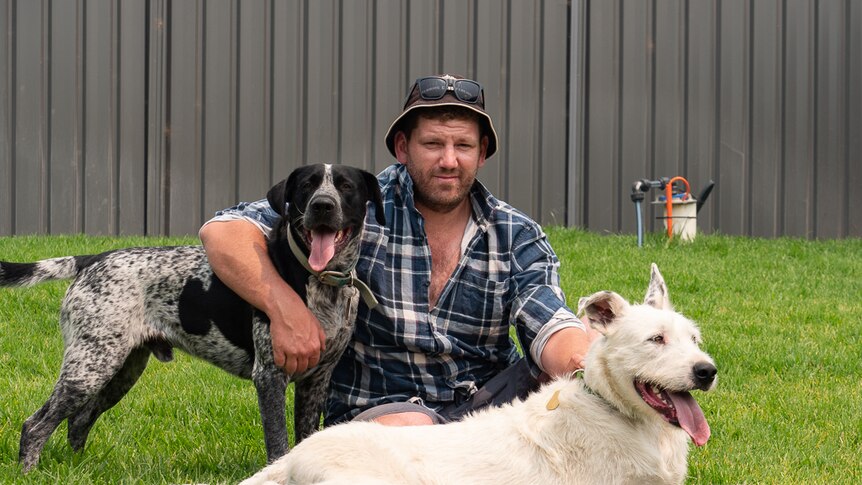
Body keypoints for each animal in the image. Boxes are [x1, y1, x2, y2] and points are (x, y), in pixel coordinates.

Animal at [0, 162, 384, 468]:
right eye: (307, 185)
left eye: (346, 186)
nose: (322, 206)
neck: (318, 279)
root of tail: (91, 260)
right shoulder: (270, 377)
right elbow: (278, 445)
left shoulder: (315, 381)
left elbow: (305, 439)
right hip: (88, 369)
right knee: (35, 426)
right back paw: (29, 471)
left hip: (121, 370)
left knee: (78, 422)